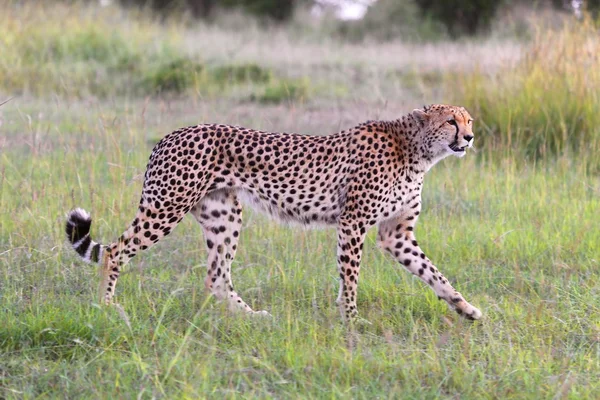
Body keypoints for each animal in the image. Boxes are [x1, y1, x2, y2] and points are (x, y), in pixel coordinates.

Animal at [65, 104, 480, 320]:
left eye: (469, 119)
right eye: (450, 121)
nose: (470, 137)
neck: (417, 151)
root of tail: (171, 134)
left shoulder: (397, 234)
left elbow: (433, 273)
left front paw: (466, 307)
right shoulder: (353, 222)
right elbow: (350, 279)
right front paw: (350, 321)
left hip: (224, 217)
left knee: (216, 277)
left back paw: (250, 318)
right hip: (168, 206)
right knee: (116, 251)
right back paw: (108, 307)